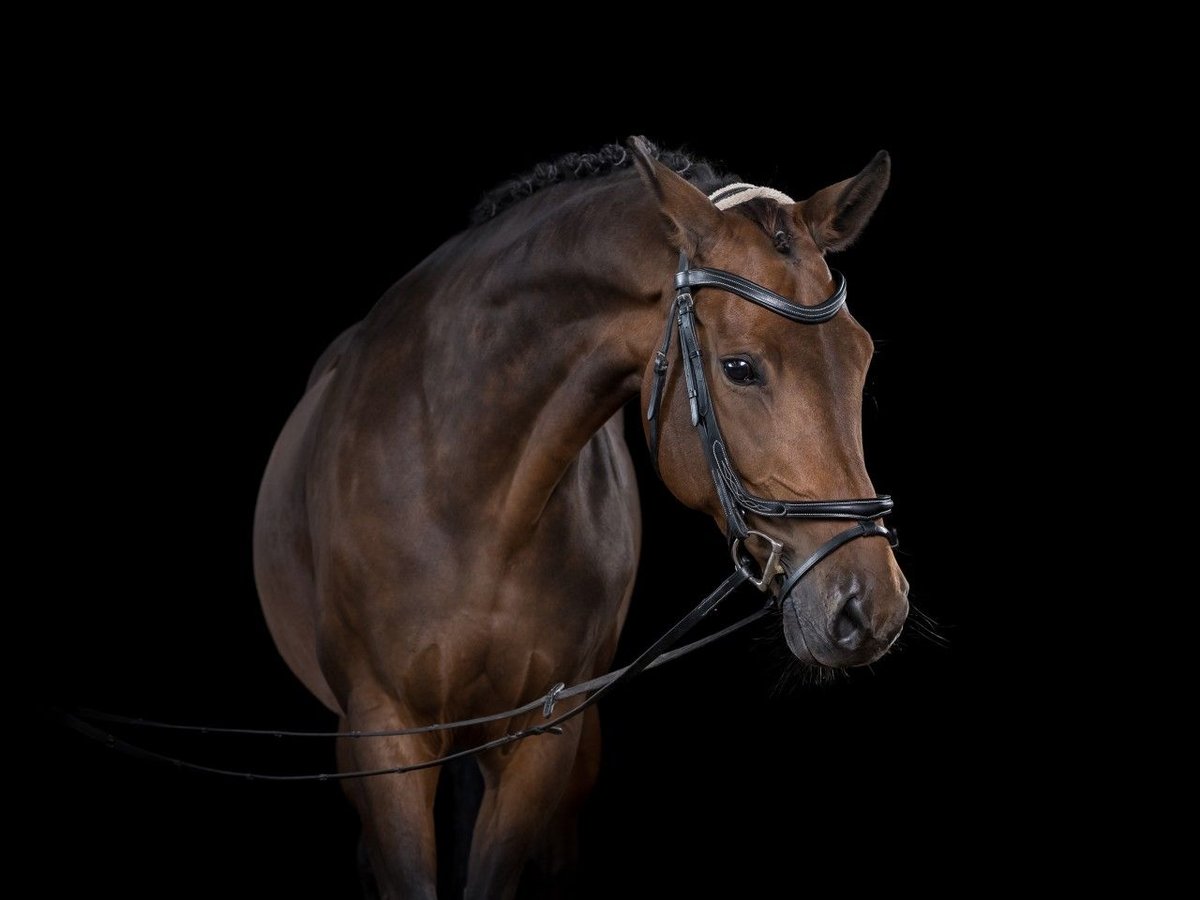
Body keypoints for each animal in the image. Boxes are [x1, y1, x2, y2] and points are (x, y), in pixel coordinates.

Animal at [253, 135, 907, 900]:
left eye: (861, 357)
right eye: (740, 367)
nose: (871, 607)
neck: (473, 496)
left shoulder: (542, 737)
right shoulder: (384, 735)